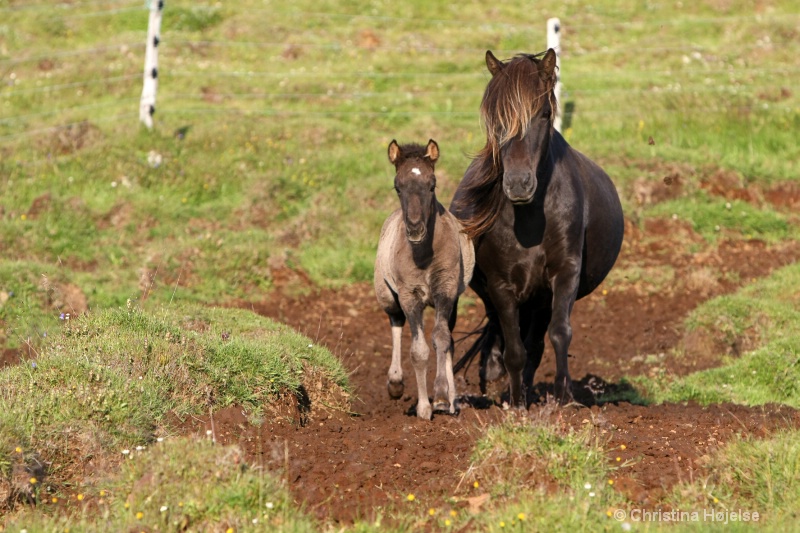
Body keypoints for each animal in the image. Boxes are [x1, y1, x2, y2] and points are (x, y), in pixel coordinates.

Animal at [450, 51, 624, 408]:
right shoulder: (501, 285)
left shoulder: (564, 274)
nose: (518, 184)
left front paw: (564, 398)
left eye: (544, 114)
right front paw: (516, 404)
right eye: (496, 118)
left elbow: (558, 334)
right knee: (504, 334)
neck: (529, 220)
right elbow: (514, 350)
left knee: (536, 342)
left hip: (540, 298)